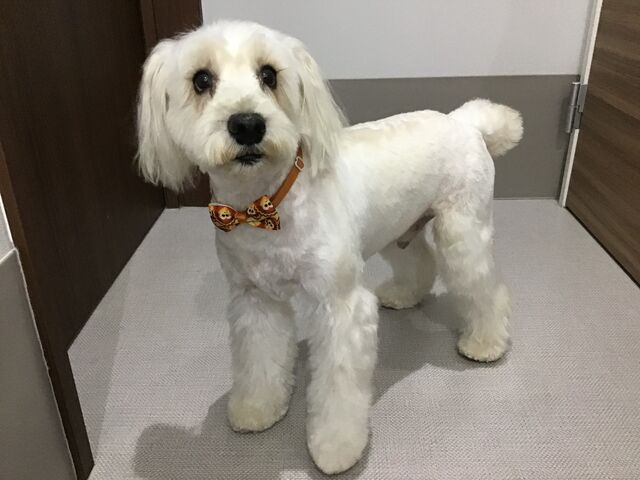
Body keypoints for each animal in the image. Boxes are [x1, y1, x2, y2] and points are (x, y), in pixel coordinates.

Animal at [136, 20, 522, 474]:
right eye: (201, 80)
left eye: (269, 75)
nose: (247, 124)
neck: (266, 204)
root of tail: (464, 120)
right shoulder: (255, 301)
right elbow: (260, 362)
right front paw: (257, 408)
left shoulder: (341, 306)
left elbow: (338, 388)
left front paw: (336, 447)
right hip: (395, 227)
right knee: (419, 260)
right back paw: (403, 294)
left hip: (461, 231)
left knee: (486, 288)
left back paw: (485, 343)